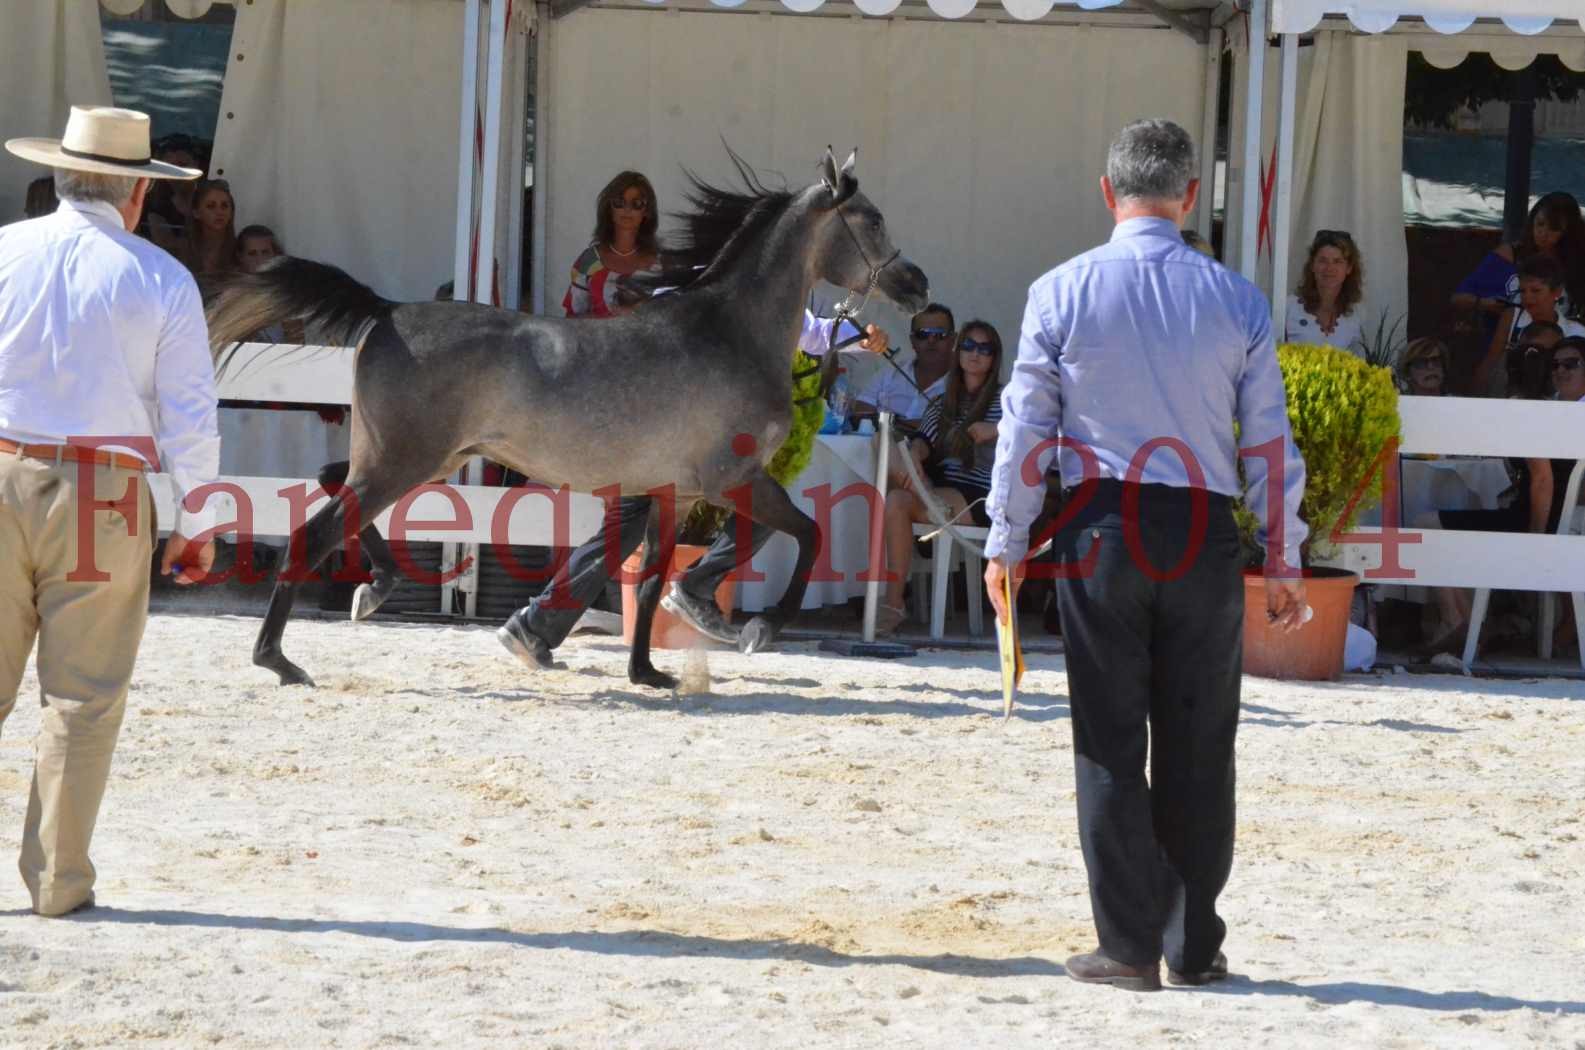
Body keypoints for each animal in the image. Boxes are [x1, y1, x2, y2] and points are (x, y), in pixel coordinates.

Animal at [209, 148, 925, 691]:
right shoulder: (734, 479)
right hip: (402, 462)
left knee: (332, 481)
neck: (730, 333)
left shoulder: (676, 490)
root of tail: (386, 311)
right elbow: (808, 533)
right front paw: (762, 626)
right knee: (312, 535)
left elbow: (656, 575)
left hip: (408, 458)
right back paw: (280, 660)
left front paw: (648, 673)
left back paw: (375, 590)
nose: (916, 286)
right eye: (873, 219)